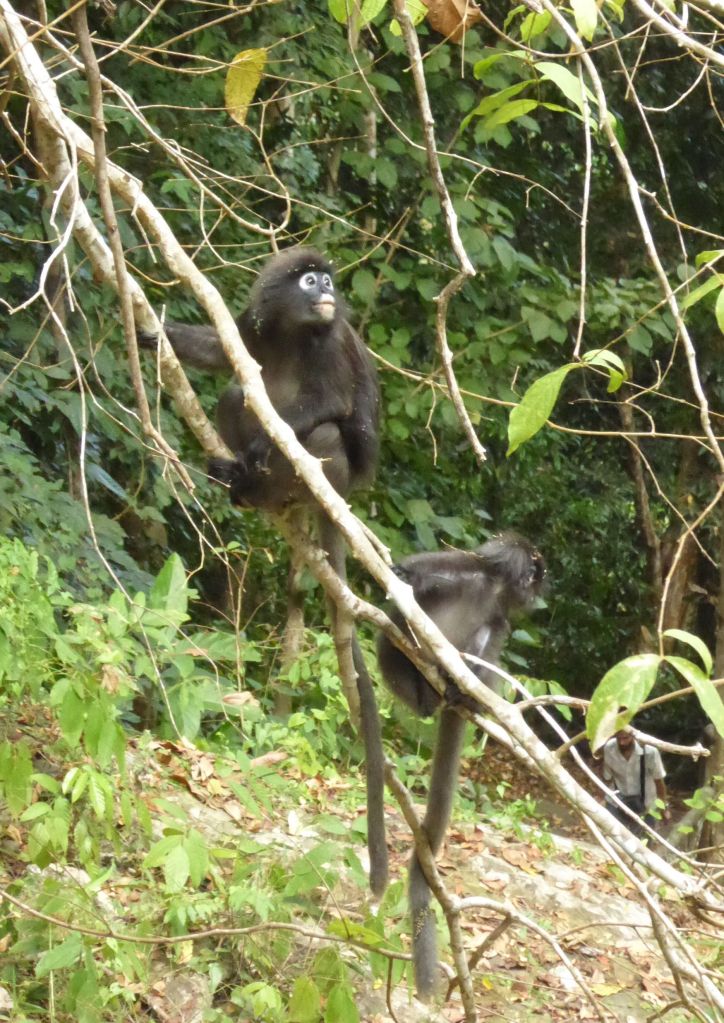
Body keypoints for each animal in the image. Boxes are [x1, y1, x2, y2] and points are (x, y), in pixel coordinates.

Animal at [139, 247, 388, 896]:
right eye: (309, 279)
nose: (326, 288)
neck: (298, 331)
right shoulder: (258, 325)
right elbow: (225, 353)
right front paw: (158, 336)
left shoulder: (333, 340)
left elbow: (329, 408)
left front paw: (262, 449)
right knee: (233, 395)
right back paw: (242, 483)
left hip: (328, 478)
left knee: (320, 435)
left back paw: (259, 475)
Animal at [376, 533, 545, 999]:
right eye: (537, 574)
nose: (537, 595)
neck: (493, 588)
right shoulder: (468, 568)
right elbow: (421, 574)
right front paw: (402, 573)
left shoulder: (500, 612)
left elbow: (496, 637)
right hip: (404, 674)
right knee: (393, 634)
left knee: (487, 642)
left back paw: (460, 692)